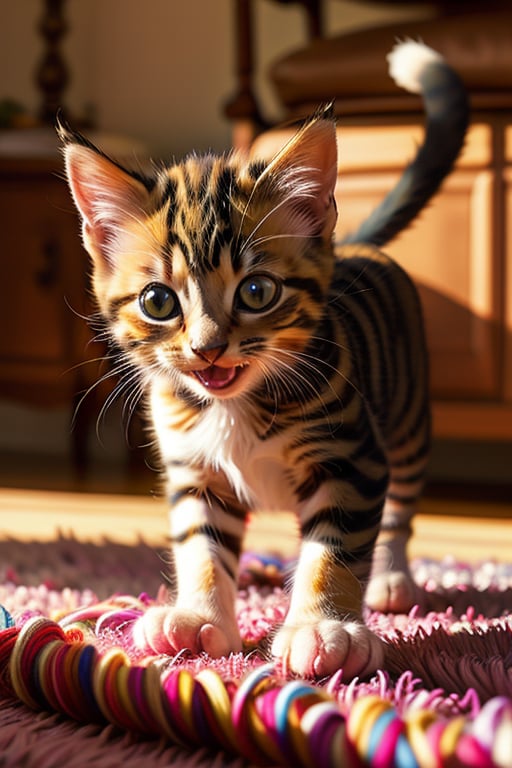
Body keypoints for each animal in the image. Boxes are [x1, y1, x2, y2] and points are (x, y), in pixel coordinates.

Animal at [60, 42, 468, 680]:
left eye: (256, 292)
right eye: (158, 302)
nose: (207, 348)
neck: (237, 404)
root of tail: (352, 241)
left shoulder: (352, 455)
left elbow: (335, 547)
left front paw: (324, 626)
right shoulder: (193, 468)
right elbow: (201, 546)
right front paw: (199, 615)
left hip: (405, 421)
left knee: (401, 503)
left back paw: (393, 577)